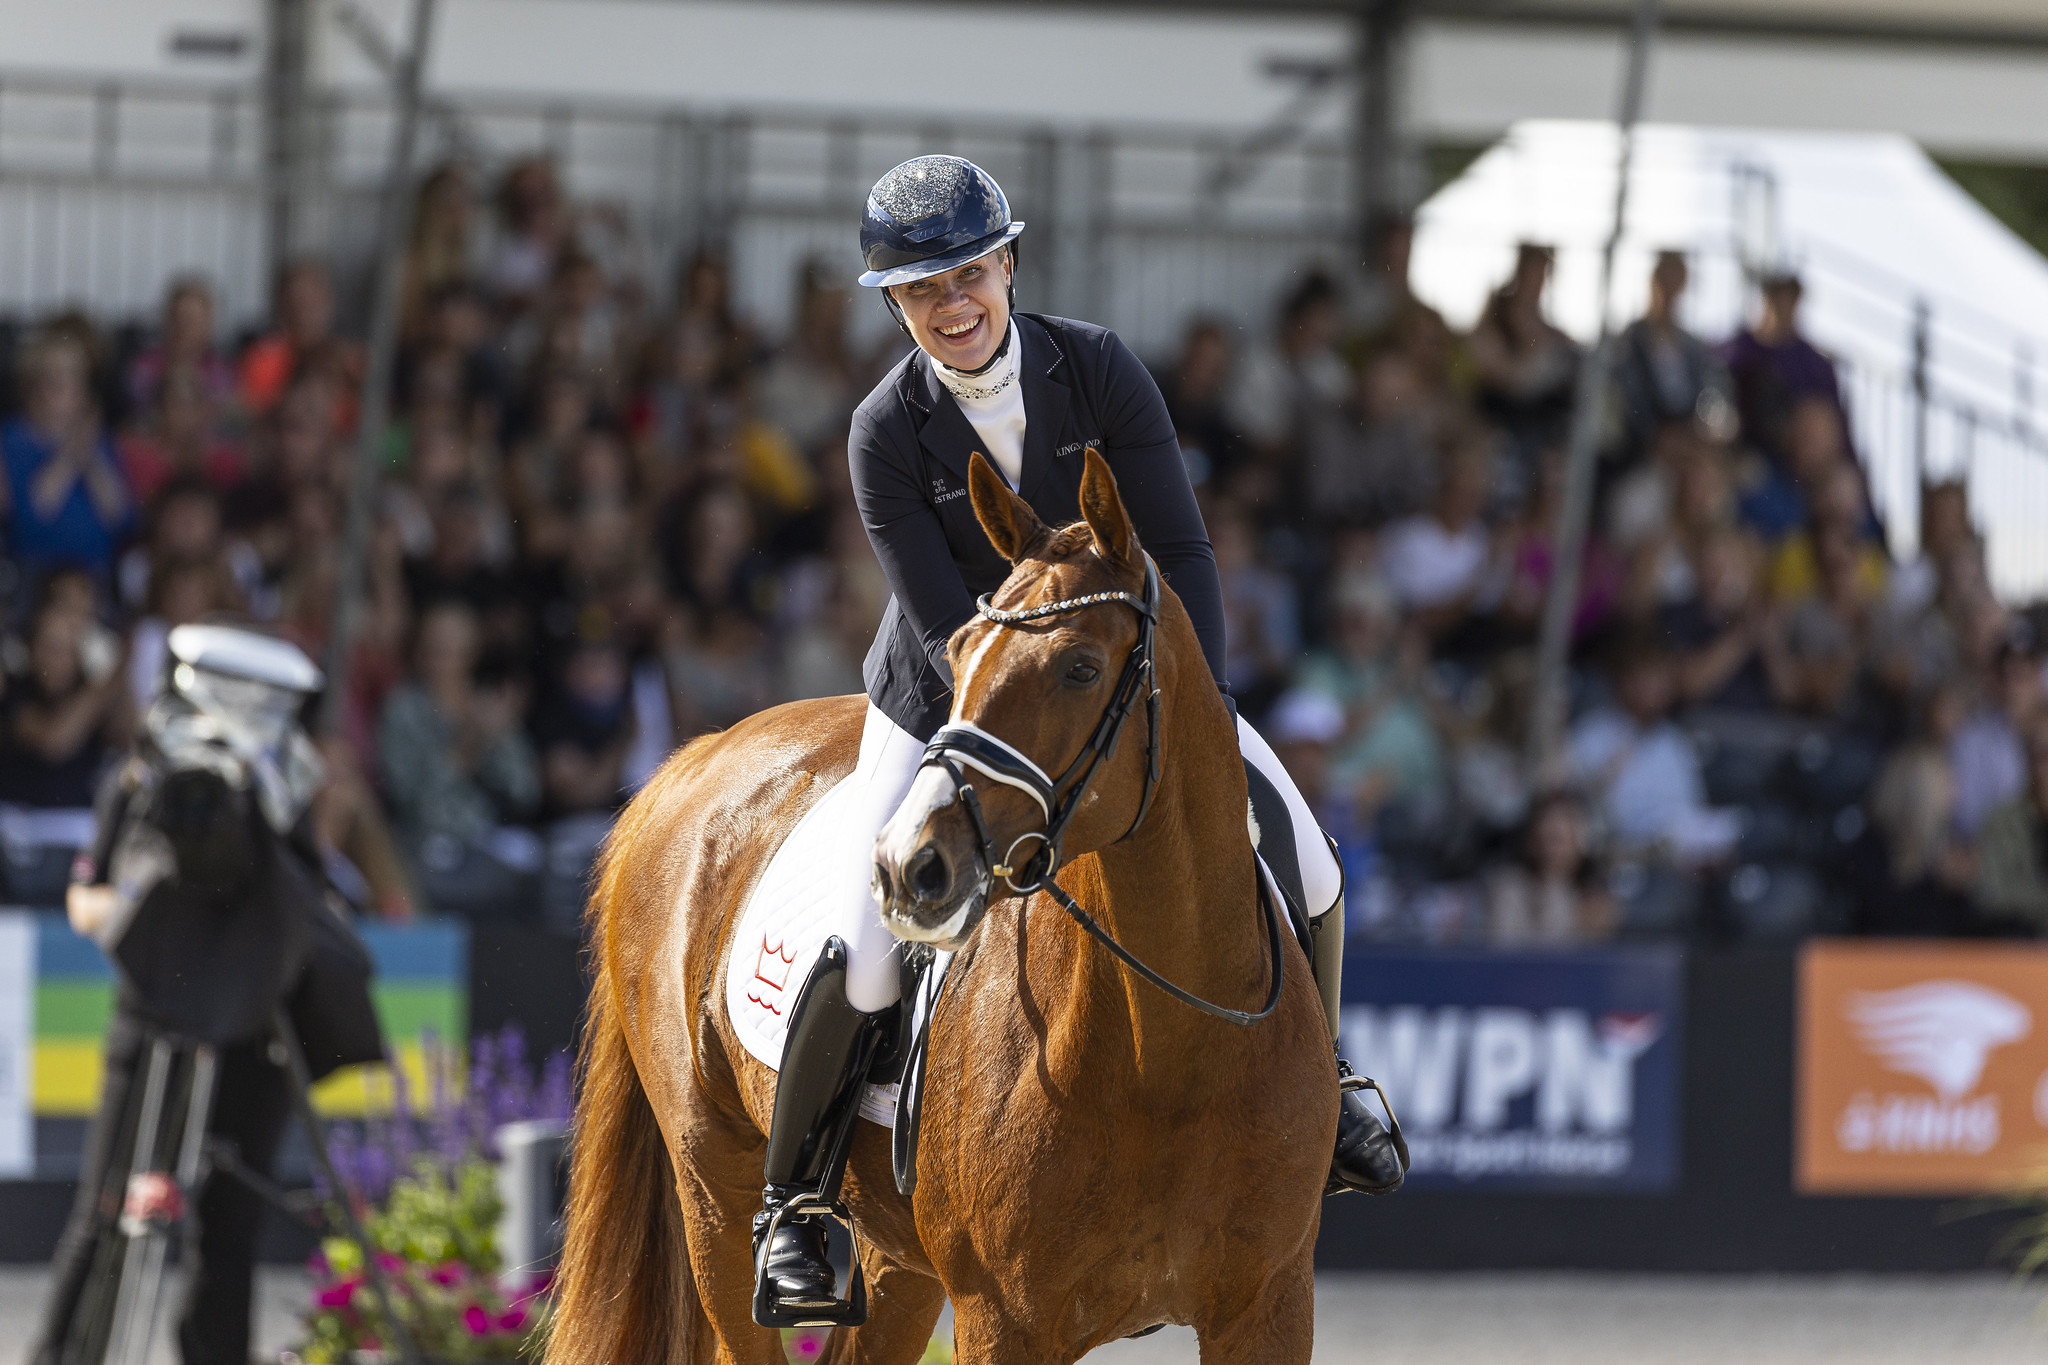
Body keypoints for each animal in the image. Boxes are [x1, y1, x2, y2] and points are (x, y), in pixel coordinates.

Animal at [548, 456, 1327, 1365]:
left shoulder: (1268, 1307)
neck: (1167, 1053)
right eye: (957, 651)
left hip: (897, 1261)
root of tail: (696, 756)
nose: (906, 867)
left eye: (1080, 667)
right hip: (714, 1191)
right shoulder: (1005, 1319)